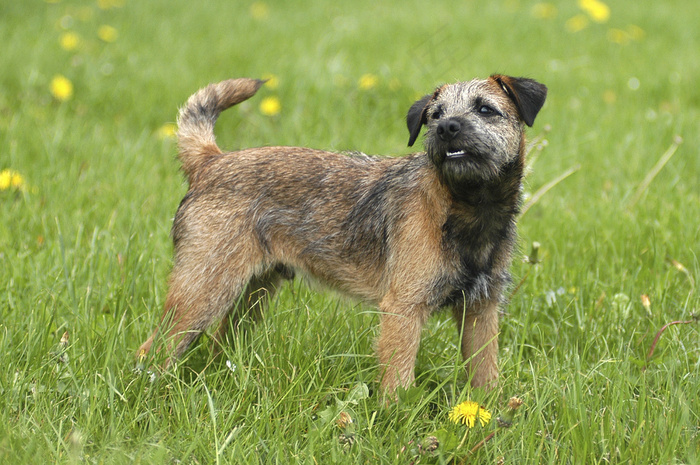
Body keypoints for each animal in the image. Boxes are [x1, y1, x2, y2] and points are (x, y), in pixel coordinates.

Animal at [138, 74, 548, 394]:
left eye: (485, 110)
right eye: (436, 115)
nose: (447, 128)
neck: (465, 208)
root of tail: (212, 161)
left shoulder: (481, 311)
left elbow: (485, 375)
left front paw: (489, 417)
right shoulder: (403, 311)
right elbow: (399, 383)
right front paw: (396, 426)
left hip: (252, 293)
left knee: (220, 343)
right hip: (202, 292)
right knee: (154, 349)